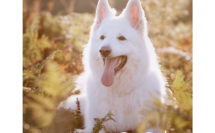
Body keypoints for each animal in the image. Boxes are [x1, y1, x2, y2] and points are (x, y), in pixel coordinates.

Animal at [59, 0, 168, 132]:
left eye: (121, 38)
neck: (119, 91)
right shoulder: (95, 126)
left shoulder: (152, 126)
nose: (103, 50)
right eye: (102, 37)